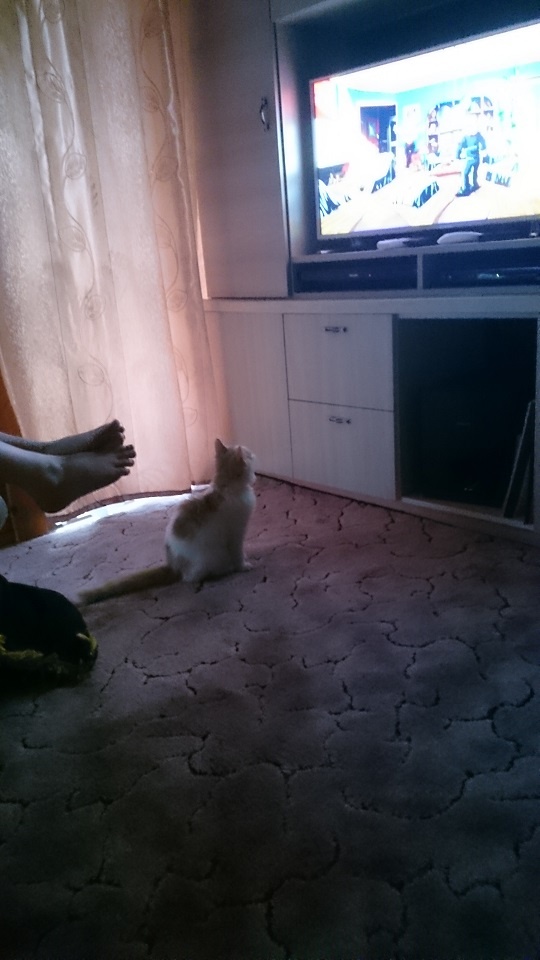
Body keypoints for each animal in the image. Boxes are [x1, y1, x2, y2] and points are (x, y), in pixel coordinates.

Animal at [79, 439, 256, 605]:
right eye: (249, 454)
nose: (254, 454)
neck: (225, 487)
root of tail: (173, 565)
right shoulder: (236, 533)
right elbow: (238, 553)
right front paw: (243, 566)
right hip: (211, 557)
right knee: (191, 578)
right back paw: (223, 570)